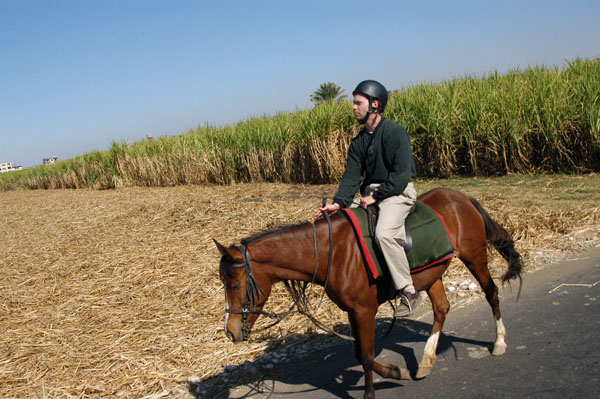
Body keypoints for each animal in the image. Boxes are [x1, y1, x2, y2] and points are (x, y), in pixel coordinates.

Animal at [214, 188, 520, 399]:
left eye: (235, 285)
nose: (230, 332)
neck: (331, 252)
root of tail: (462, 197)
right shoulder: (353, 311)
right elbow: (360, 353)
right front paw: (397, 371)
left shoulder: (364, 310)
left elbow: (367, 355)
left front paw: (374, 389)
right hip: (433, 274)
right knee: (442, 309)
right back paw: (425, 362)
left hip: (475, 257)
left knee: (491, 293)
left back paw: (500, 342)